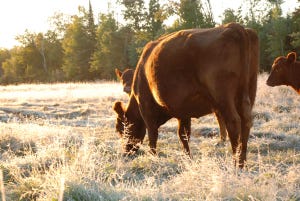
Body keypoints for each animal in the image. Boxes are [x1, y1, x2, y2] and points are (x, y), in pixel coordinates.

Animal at [112, 22, 258, 168]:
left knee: (233, 122)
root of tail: (233, 26)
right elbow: (183, 134)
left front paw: (153, 157)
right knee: (246, 121)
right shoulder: (183, 111)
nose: (126, 153)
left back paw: (236, 164)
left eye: (120, 129)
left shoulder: (146, 108)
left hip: (223, 96)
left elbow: (153, 136)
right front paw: (188, 157)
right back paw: (243, 162)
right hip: (247, 93)